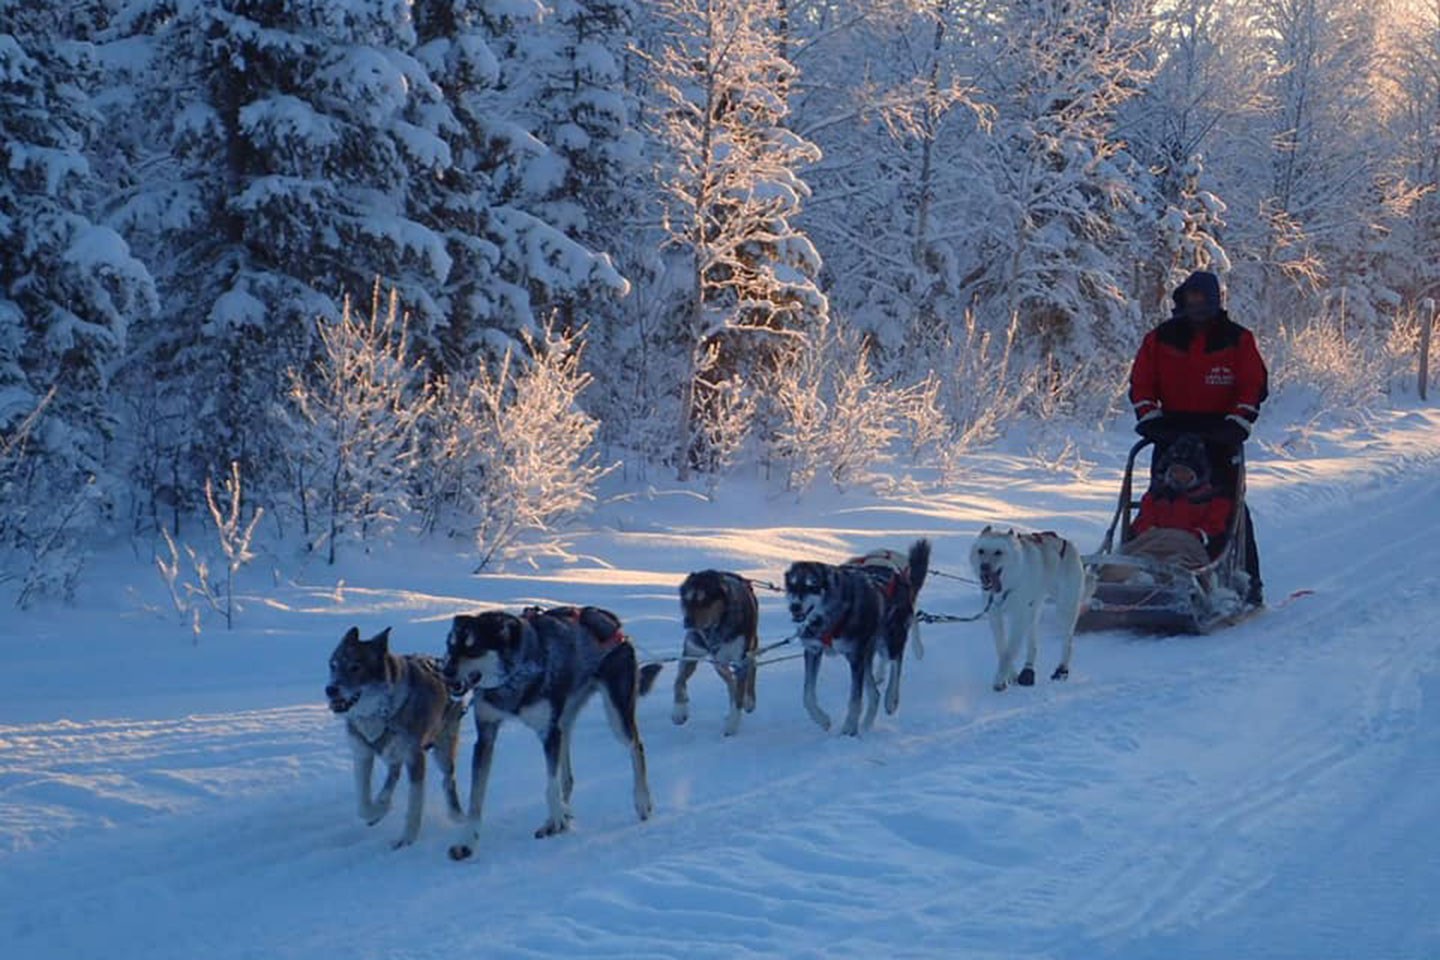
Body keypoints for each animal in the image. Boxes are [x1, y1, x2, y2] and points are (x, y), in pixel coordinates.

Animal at [967, 526, 1088, 690]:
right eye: (981, 551)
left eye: (998, 552)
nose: (984, 566)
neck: (1007, 586)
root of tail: (1066, 542)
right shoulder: (995, 616)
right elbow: (1002, 648)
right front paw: (1011, 675)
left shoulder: (1019, 618)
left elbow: (1009, 652)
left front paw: (999, 680)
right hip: (1033, 611)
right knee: (1032, 645)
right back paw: (1028, 670)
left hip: (1065, 608)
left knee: (1067, 641)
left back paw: (1062, 670)